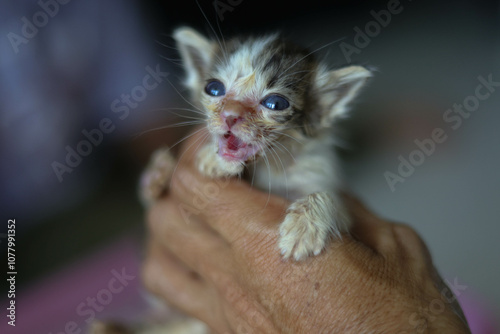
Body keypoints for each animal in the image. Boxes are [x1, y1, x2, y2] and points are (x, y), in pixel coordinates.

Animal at [141, 26, 372, 260]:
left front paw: (305, 227)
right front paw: (159, 173)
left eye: (276, 103)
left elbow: (330, 200)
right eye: (213, 88)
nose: (229, 115)